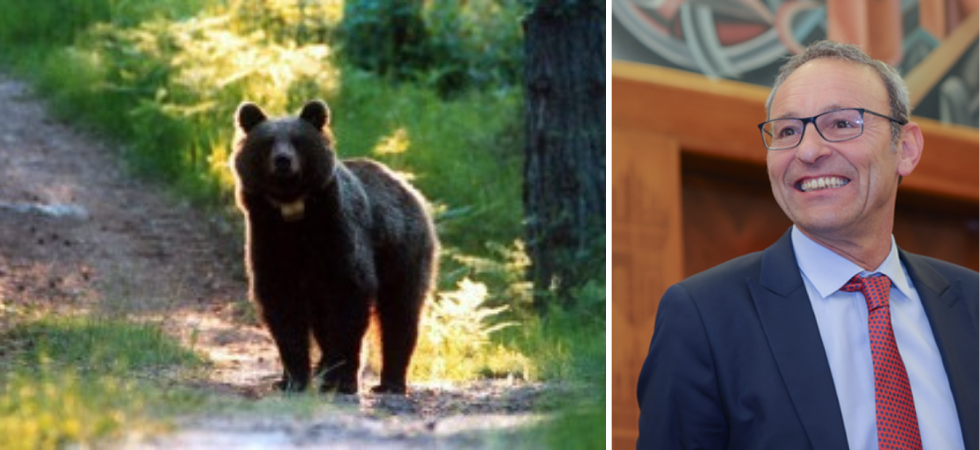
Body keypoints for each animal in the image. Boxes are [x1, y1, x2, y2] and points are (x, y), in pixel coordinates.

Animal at [230, 99, 438, 395]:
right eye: (268, 142)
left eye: (298, 140)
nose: (283, 160)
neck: (294, 214)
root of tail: (407, 187)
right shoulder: (270, 239)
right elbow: (282, 306)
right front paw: (293, 378)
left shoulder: (338, 235)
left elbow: (349, 299)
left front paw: (343, 379)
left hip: (402, 249)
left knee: (400, 311)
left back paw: (390, 382)